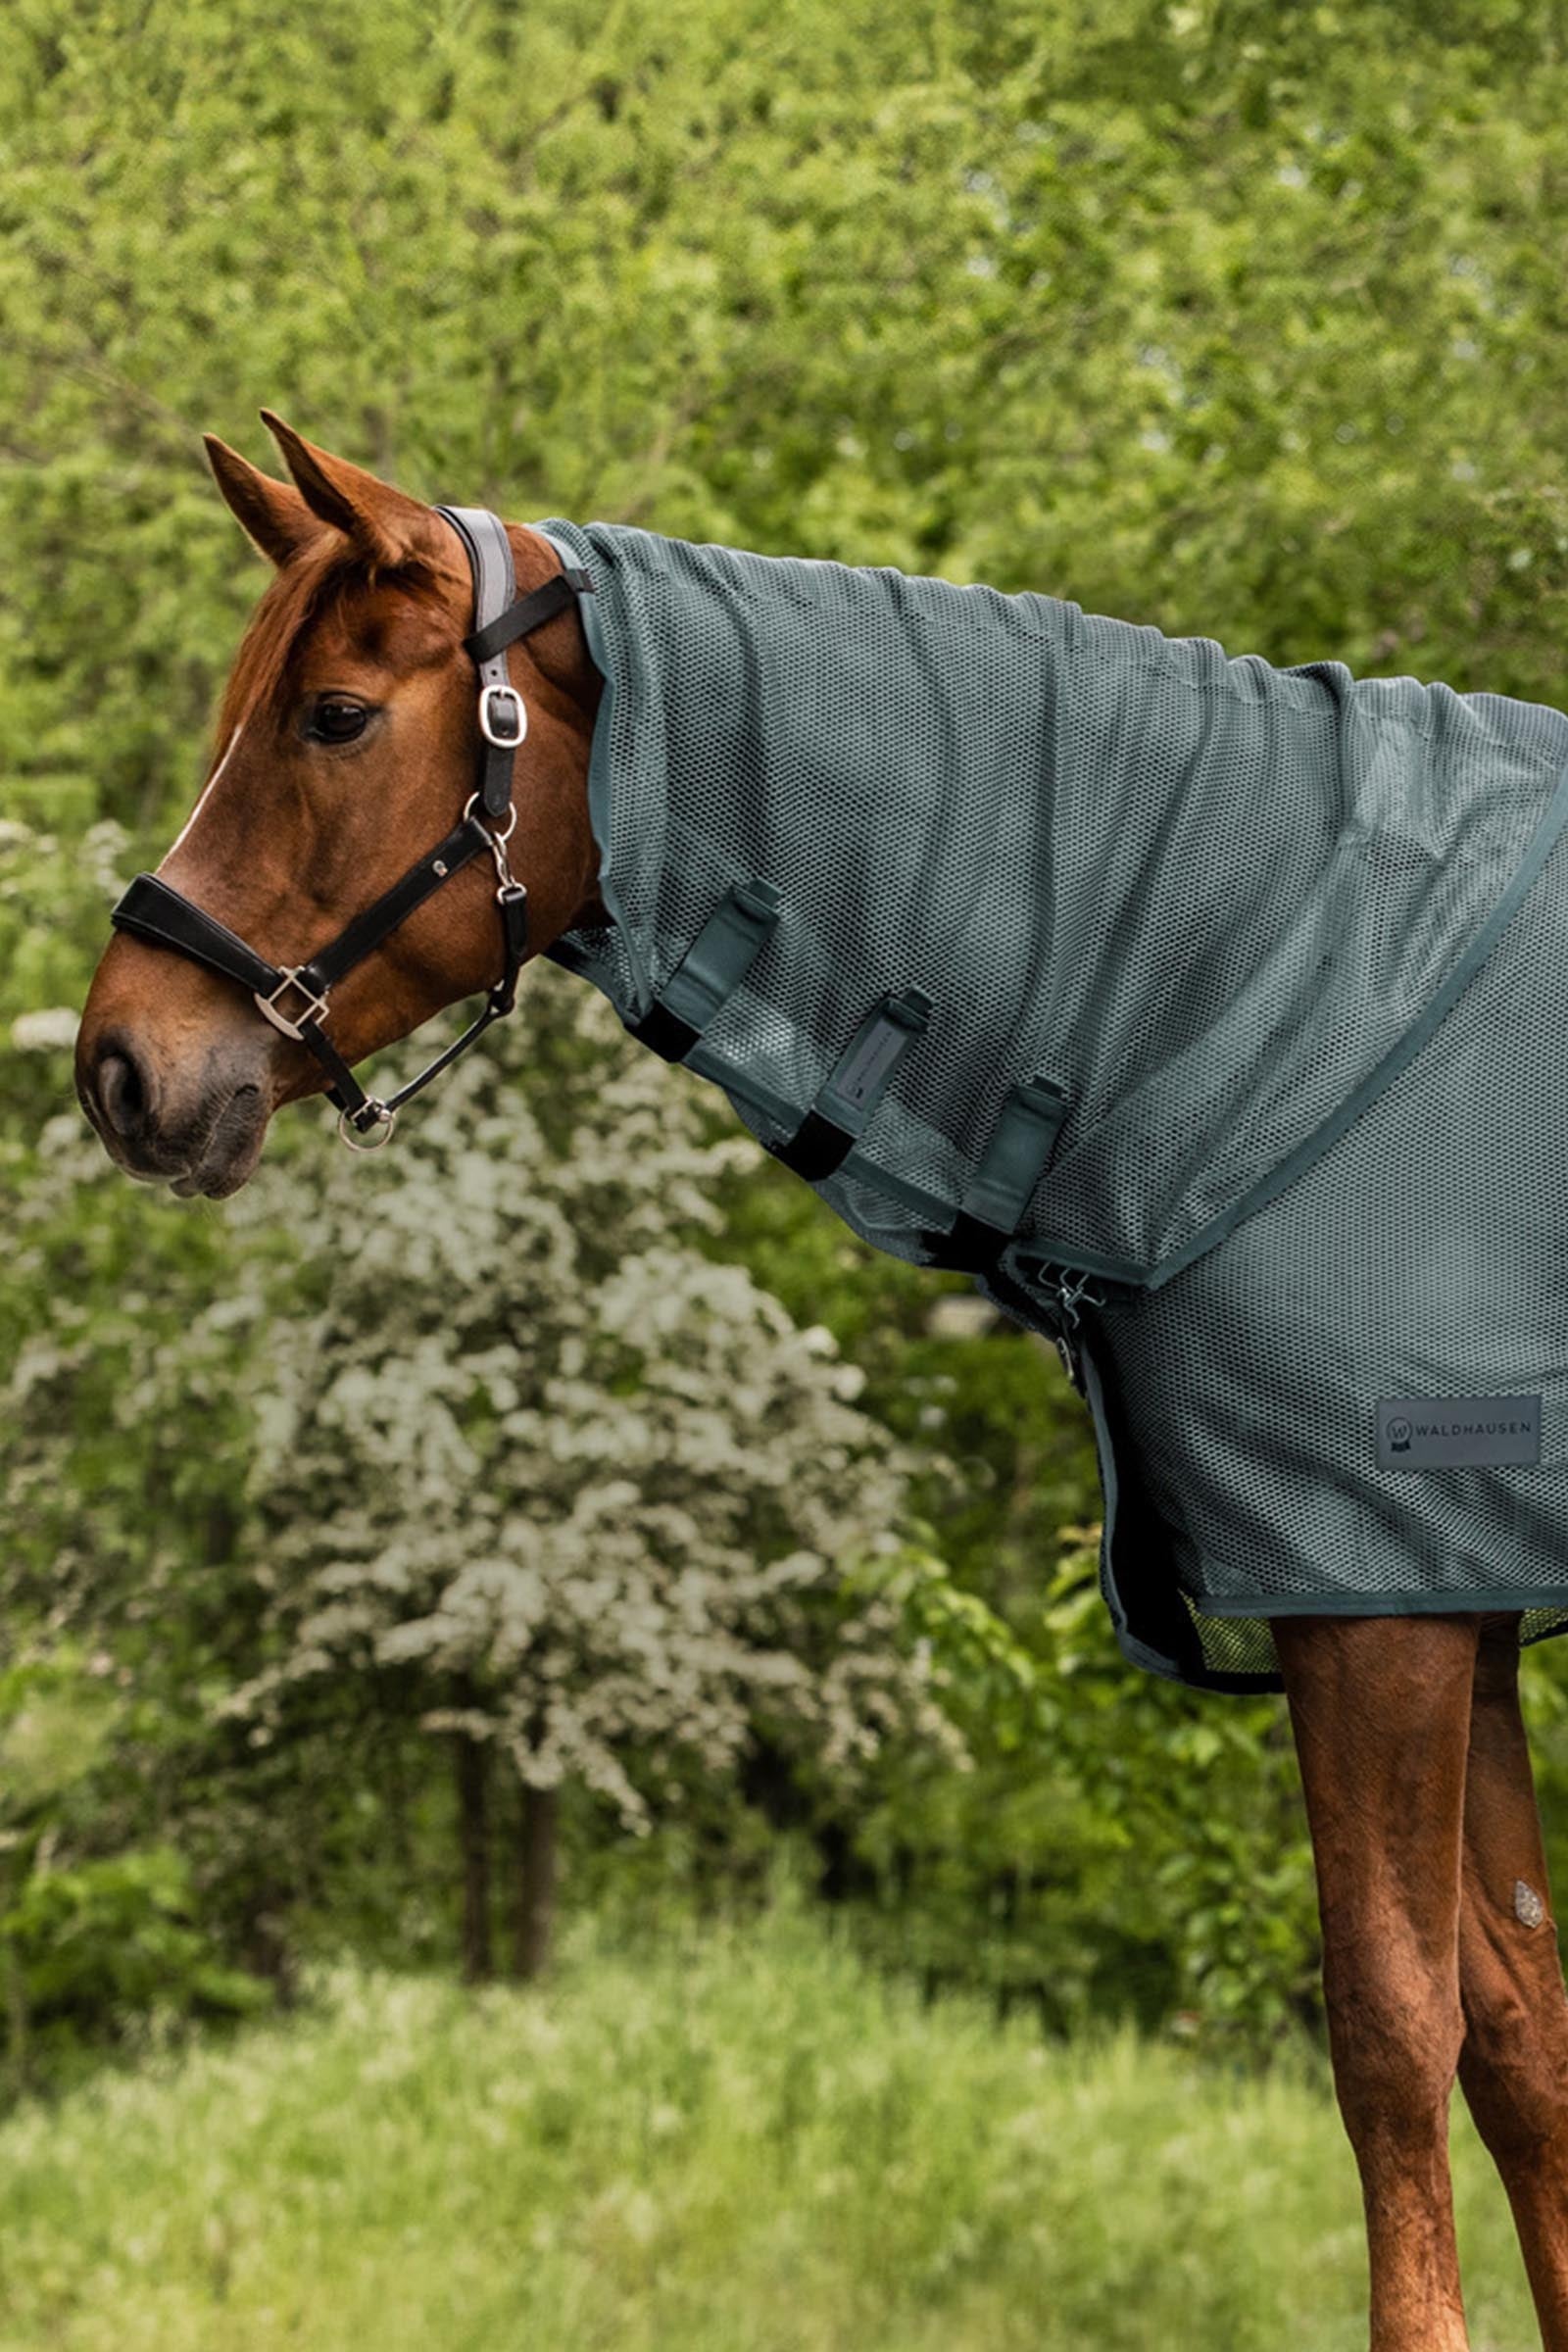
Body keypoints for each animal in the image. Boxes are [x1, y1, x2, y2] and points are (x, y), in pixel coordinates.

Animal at [74, 414, 1568, 2352]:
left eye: (330, 716)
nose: (119, 1067)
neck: (1289, 994)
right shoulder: (1443, 1590)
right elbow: (1527, 2047)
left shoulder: (1372, 1598)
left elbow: (1397, 2041)